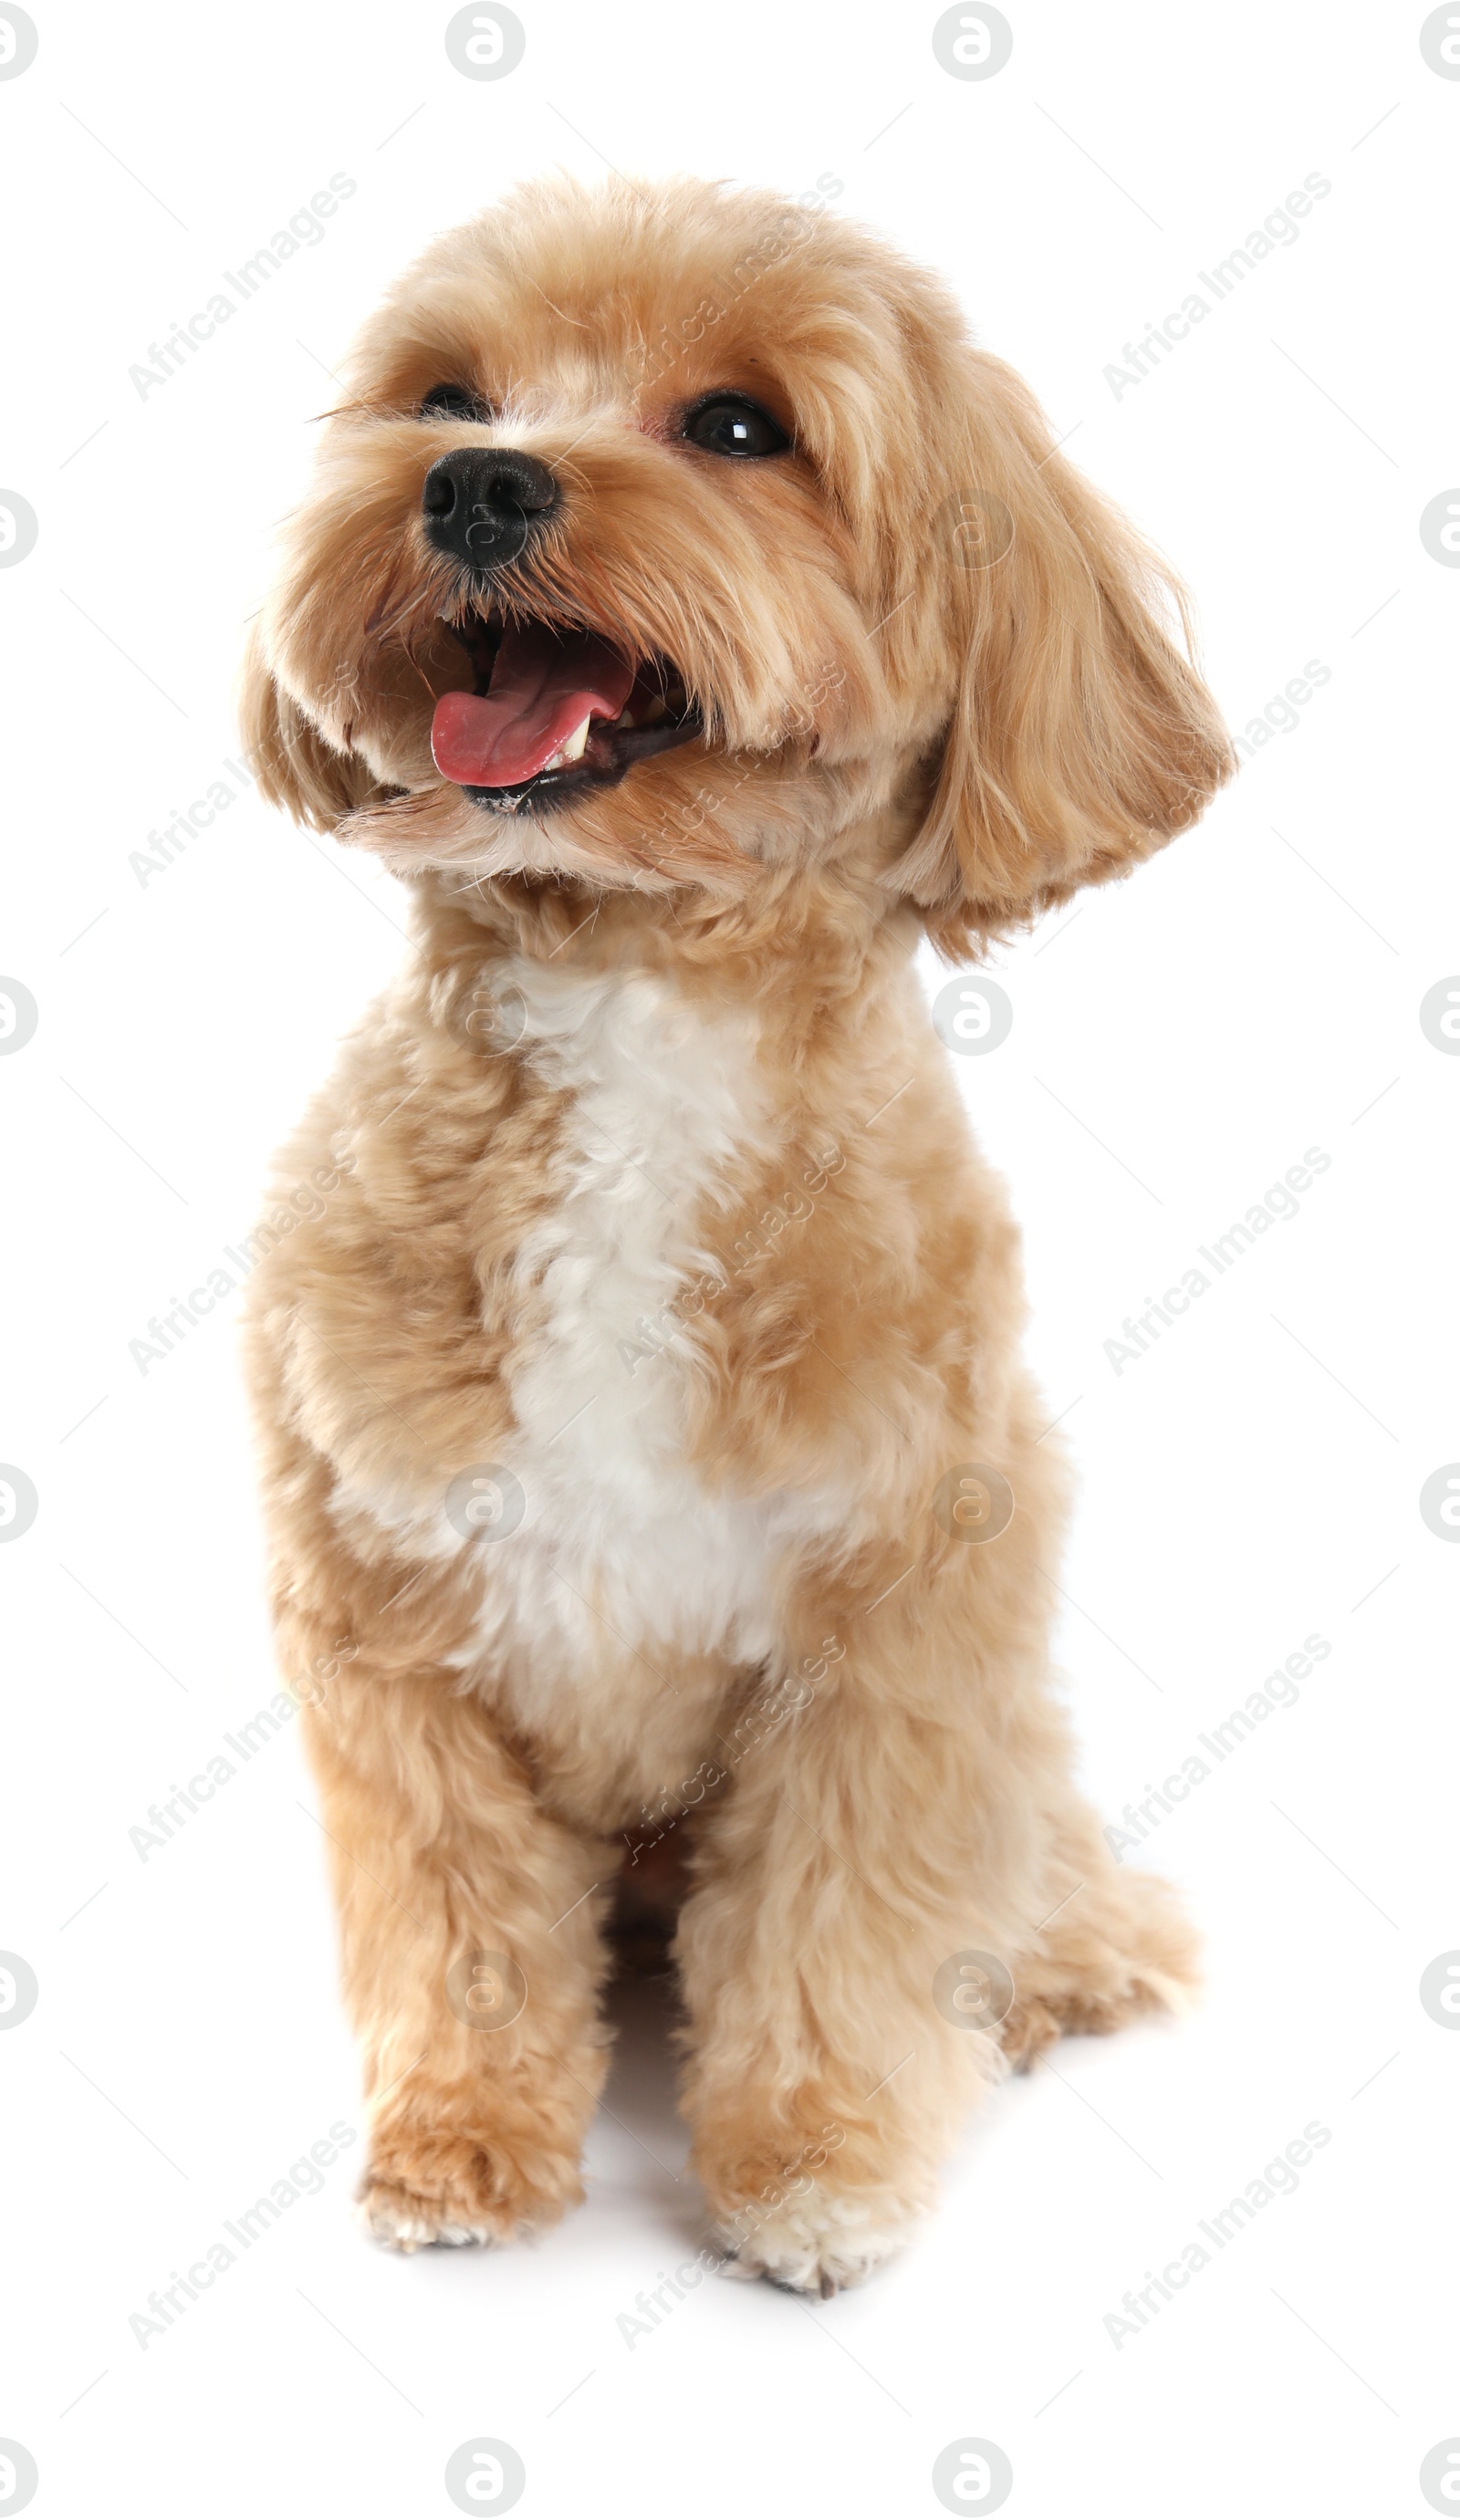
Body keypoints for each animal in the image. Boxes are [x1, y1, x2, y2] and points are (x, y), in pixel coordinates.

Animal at [236, 172, 1236, 2307]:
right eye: (445, 395)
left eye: (740, 428)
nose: (478, 484)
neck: (631, 991)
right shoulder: (388, 1623)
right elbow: (458, 1921)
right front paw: (461, 2139)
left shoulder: (896, 1622)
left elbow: (836, 1926)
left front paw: (813, 2168)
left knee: (1025, 1862)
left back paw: (1050, 1965)